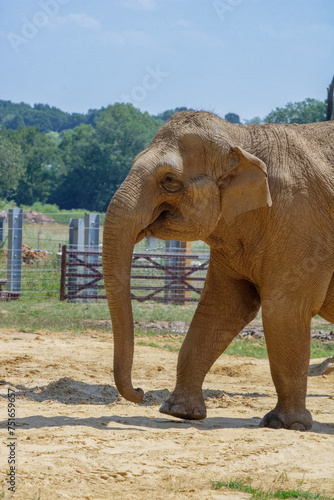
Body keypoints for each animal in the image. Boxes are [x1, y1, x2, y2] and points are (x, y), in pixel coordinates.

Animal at [102, 112, 334, 430]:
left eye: (170, 180)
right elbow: (223, 307)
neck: (241, 137)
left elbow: (283, 310)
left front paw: (284, 424)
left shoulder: (301, 224)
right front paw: (180, 412)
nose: (140, 391)